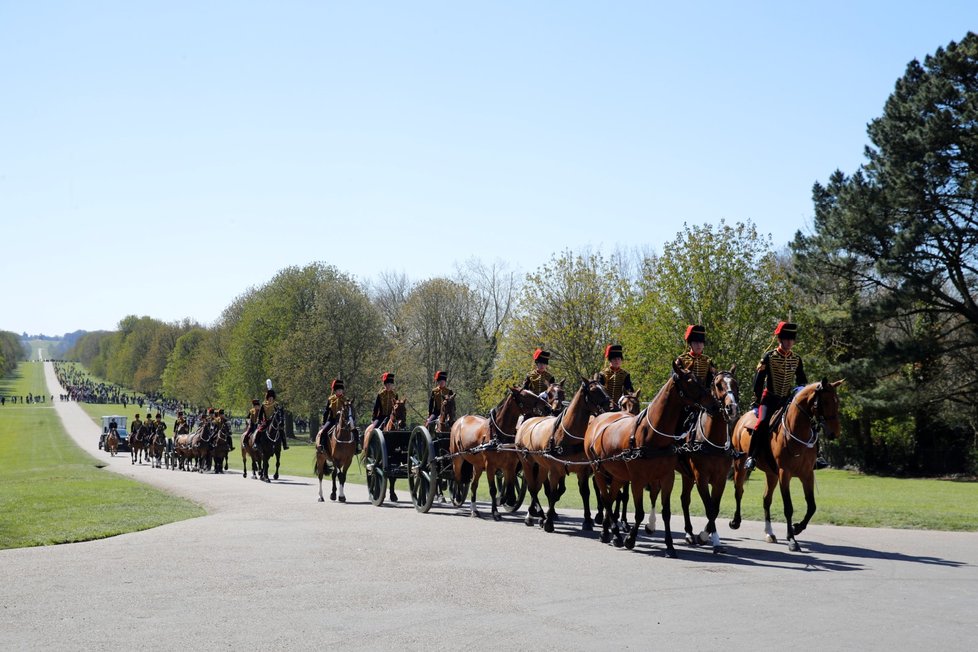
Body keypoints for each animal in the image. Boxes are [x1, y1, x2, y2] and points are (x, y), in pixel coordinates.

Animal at [448, 388, 548, 520]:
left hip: (477, 466)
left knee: (473, 485)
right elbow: (493, 489)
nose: (547, 406)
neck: (498, 435)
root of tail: (459, 420)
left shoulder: (510, 466)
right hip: (457, 459)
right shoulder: (490, 466)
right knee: (457, 478)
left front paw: (505, 500)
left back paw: (474, 510)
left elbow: (509, 487)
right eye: (525, 395)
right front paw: (495, 511)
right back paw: (458, 497)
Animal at [516, 380, 608, 532]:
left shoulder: (582, 470)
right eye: (594, 390)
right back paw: (536, 514)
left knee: (537, 486)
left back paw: (536, 514)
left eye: (604, 388)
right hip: (527, 463)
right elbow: (553, 493)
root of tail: (527, 423)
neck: (568, 435)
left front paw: (587, 520)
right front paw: (549, 521)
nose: (610, 404)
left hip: (541, 466)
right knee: (532, 488)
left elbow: (585, 492)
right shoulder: (555, 470)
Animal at [588, 360, 716, 556]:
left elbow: (666, 512)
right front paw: (630, 539)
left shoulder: (667, 478)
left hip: (618, 475)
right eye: (690, 382)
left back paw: (610, 532)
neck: (652, 435)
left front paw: (670, 546)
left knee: (611, 497)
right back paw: (612, 532)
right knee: (606, 499)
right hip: (599, 472)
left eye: (700, 380)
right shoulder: (637, 480)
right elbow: (639, 512)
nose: (715, 404)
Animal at [728, 376, 844, 552]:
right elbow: (788, 507)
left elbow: (812, 506)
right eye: (825, 402)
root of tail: (742, 419)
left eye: (837, 401)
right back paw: (736, 521)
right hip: (740, 465)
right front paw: (791, 539)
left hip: (771, 473)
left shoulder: (807, 474)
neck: (798, 431)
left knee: (766, 499)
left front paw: (797, 528)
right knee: (739, 491)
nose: (835, 433)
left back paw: (769, 533)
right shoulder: (785, 473)